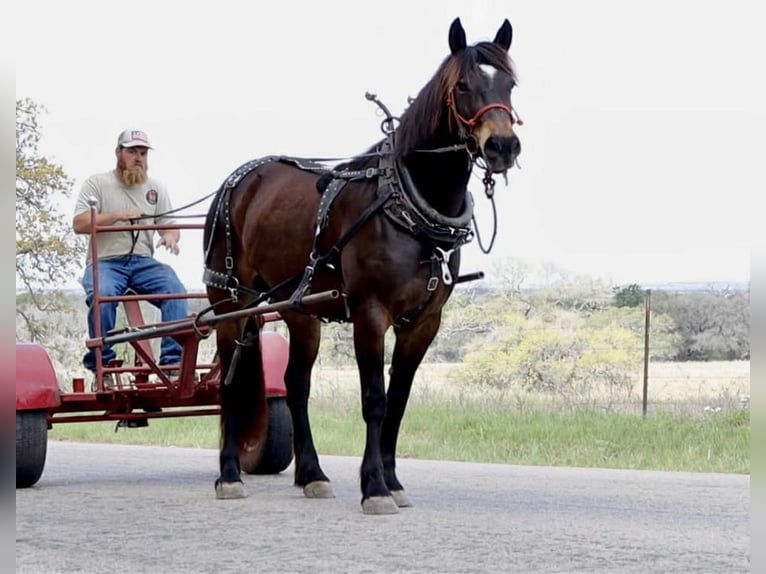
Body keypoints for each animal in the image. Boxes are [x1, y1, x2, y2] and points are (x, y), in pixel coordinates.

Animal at [202, 17, 522, 514]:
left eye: (510, 84)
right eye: (463, 85)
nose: (504, 146)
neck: (405, 205)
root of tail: (240, 178)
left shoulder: (424, 322)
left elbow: (399, 400)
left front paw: (392, 480)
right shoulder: (371, 312)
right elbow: (373, 398)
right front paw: (374, 487)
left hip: (298, 311)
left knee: (296, 385)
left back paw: (312, 474)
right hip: (230, 303)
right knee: (231, 386)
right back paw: (230, 475)